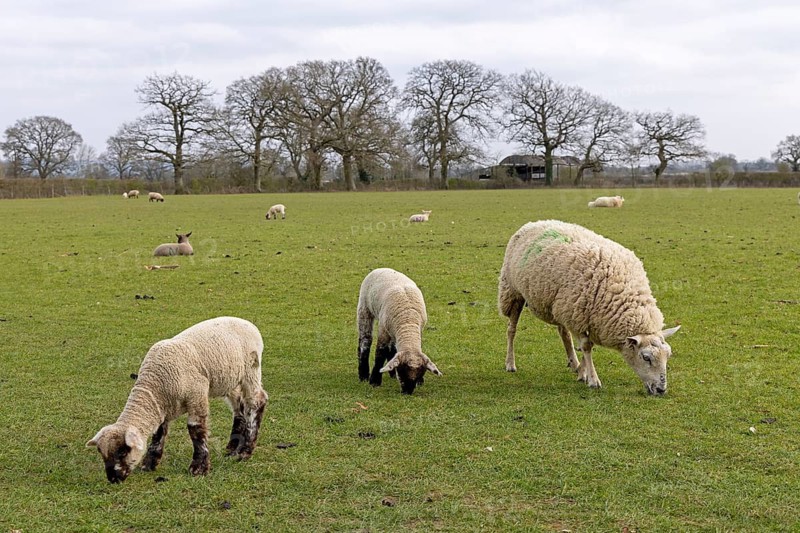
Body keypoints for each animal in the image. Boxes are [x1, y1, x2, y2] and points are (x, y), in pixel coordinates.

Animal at [86, 316, 268, 483]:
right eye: (102, 453)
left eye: (123, 452)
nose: (113, 479)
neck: (155, 385)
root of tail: (247, 322)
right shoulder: (162, 407)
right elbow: (159, 433)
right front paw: (149, 464)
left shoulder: (197, 395)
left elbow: (196, 431)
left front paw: (198, 468)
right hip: (231, 378)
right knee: (239, 407)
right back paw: (233, 447)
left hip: (251, 369)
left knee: (256, 402)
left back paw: (245, 451)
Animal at [498, 220, 680, 395]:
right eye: (646, 357)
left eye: (668, 356)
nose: (661, 390)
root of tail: (534, 223)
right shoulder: (578, 316)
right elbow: (586, 346)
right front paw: (592, 380)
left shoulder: (585, 317)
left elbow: (585, 345)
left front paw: (582, 372)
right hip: (513, 292)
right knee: (511, 330)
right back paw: (510, 363)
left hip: (561, 306)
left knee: (564, 333)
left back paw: (573, 363)